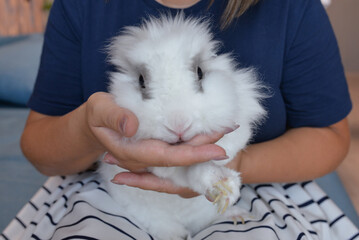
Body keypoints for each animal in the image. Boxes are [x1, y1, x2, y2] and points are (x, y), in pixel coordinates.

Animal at [100, 14, 268, 239]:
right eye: (141, 80)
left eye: (200, 72)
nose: (179, 125)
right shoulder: (162, 167)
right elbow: (186, 172)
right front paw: (220, 184)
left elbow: (217, 156)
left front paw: (224, 188)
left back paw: (236, 215)